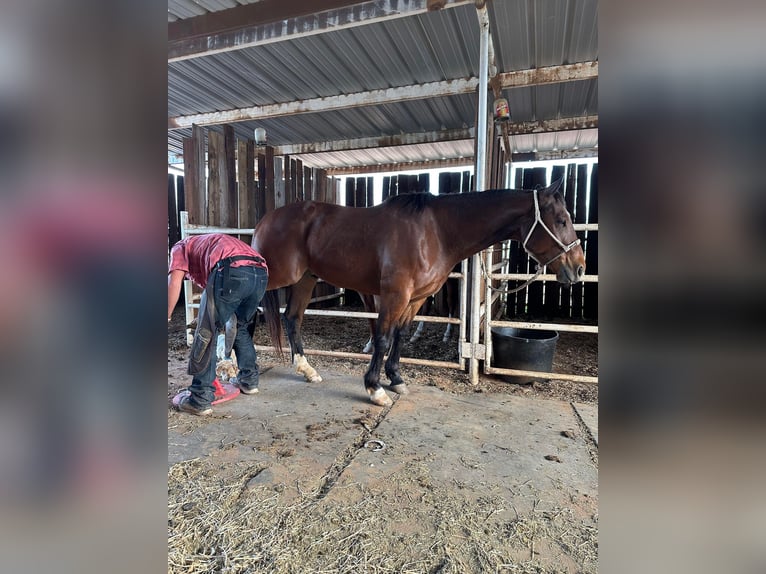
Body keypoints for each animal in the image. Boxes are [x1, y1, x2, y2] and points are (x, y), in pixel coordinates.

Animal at [255, 178, 584, 408]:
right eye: (561, 220)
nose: (579, 268)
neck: (436, 232)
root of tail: (265, 220)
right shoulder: (395, 295)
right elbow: (382, 338)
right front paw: (375, 389)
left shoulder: (415, 299)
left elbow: (400, 336)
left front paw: (396, 379)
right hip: (272, 276)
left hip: (305, 279)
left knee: (292, 318)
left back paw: (306, 369)